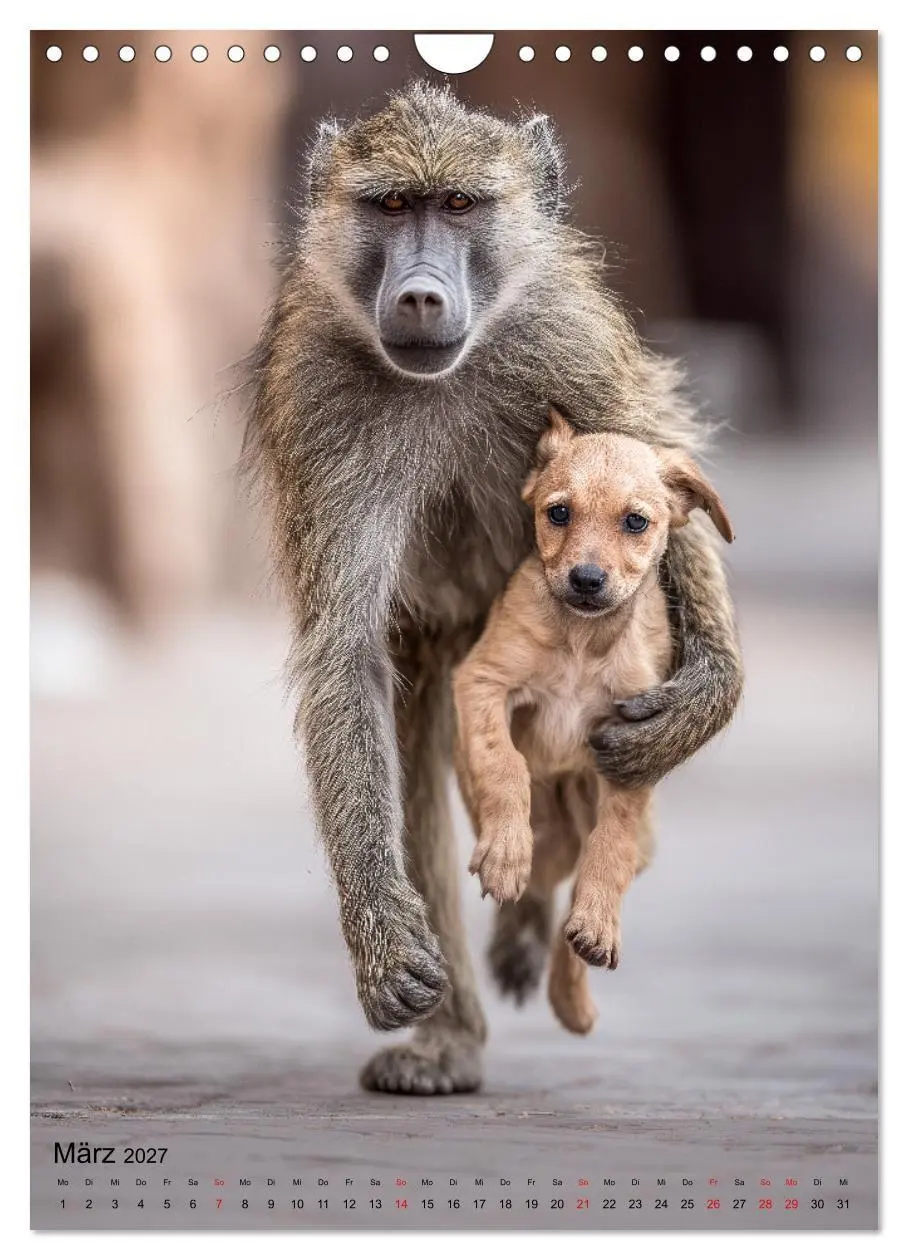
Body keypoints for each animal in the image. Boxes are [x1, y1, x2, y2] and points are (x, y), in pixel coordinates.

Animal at [244, 82, 743, 1095]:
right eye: (394, 205)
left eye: (461, 205)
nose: (421, 292)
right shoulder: (315, 392)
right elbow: (345, 652)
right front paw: (389, 949)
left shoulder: (567, 334)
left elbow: (657, 464)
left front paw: (706, 694)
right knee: (421, 767)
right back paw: (452, 1036)